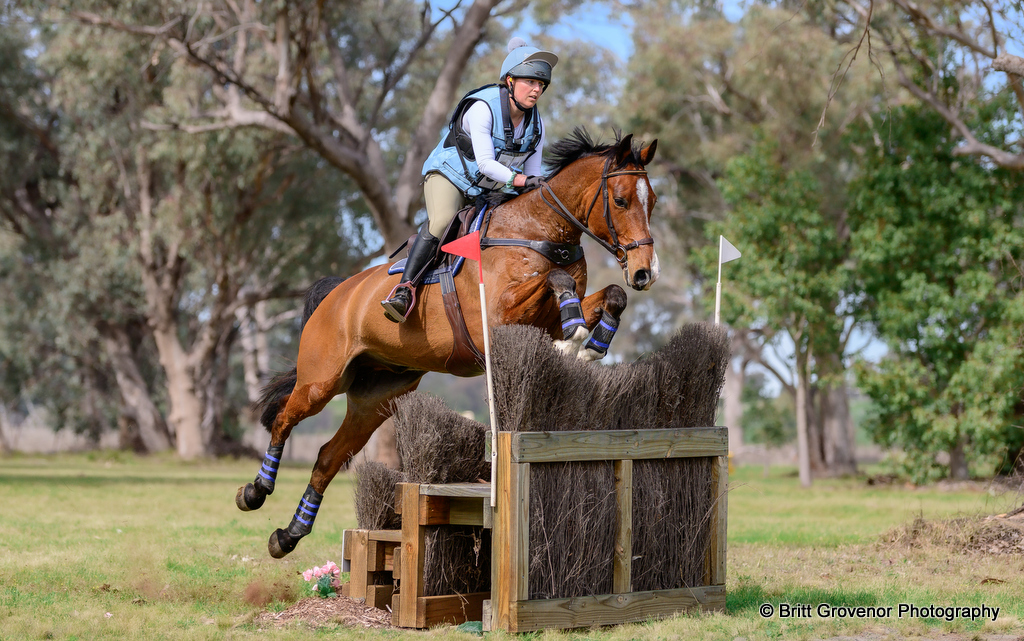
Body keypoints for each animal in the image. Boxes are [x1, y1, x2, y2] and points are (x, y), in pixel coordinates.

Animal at [241, 128, 659, 558]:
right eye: (621, 200)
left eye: (653, 201)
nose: (644, 273)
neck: (538, 232)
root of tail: (336, 294)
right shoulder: (499, 314)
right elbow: (555, 279)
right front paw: (577, 334)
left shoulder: (542, 321)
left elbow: (610, 295)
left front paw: (591, 344)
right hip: (322, 381)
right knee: (284, 418)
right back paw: (255, 491)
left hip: (376, 397)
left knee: (328, 457)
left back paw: (288, 535)